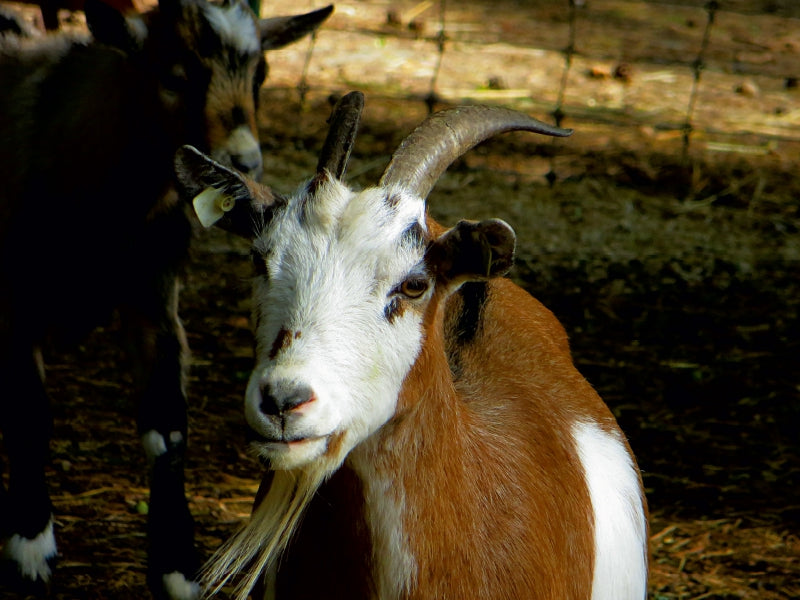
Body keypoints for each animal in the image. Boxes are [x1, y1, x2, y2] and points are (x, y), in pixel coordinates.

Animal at [0, 0, 332, 596]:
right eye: (174, 78)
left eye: (261, 76)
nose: (243, 161)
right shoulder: (19, 298)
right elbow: (30, 412)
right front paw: (30, 544)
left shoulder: (154, 301)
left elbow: (168, 431)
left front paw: (178, 567)